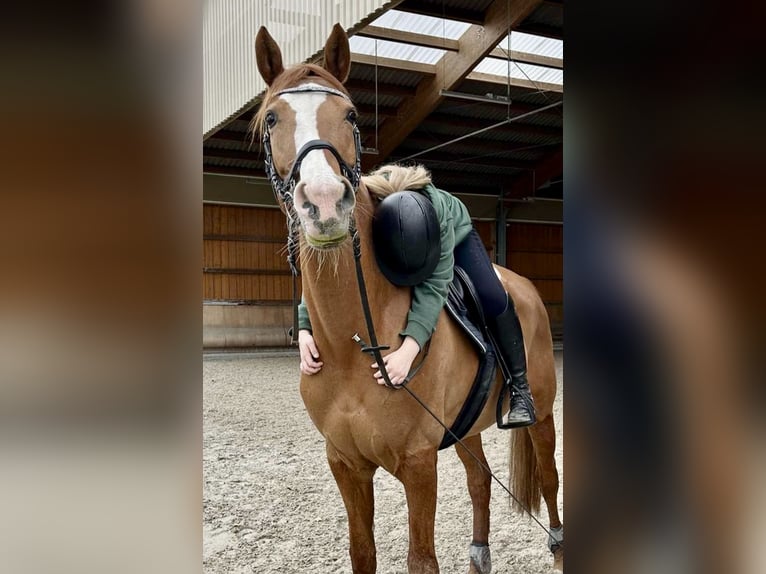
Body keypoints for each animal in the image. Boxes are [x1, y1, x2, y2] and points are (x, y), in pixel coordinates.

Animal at [255, 23, 560, 574]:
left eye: (351, 116)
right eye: (272, 118)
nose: (324, 204)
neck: (352, 343)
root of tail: (522, 286)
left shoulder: (418, 464)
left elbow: (422, 559)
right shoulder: (346, 464)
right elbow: (362, 553)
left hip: (542, 415)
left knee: (550, 485)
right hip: (466, 428)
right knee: (480, 481)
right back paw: (479, 554)